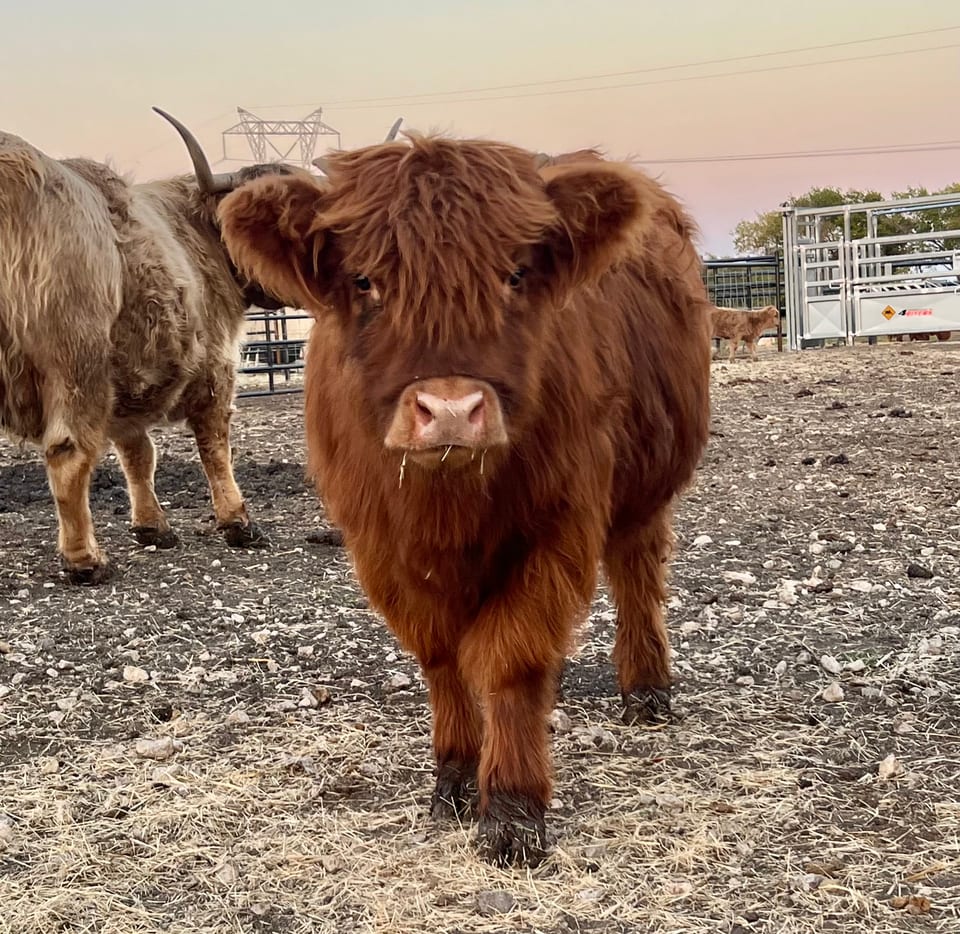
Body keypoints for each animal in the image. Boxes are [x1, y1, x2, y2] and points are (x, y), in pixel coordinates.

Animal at [0, 109, 299, 583]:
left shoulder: (130, 384)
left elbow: (138, 454)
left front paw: (152, 526)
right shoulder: (216, 368)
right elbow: (215, 446)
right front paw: (239, 522)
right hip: (76, 363)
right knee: (68, 452)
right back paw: (86, 560)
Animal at [216, 136, 712, 865]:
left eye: (515, 274)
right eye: (365, 281)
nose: (450, 410)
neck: (447, 505)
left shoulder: (558, 525)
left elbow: (513, 659)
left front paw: (511, 806)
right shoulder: (381, 545)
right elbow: (440, 654)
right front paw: (453, 774)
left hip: (647, 486)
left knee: (637, 573)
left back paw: (647, 689)